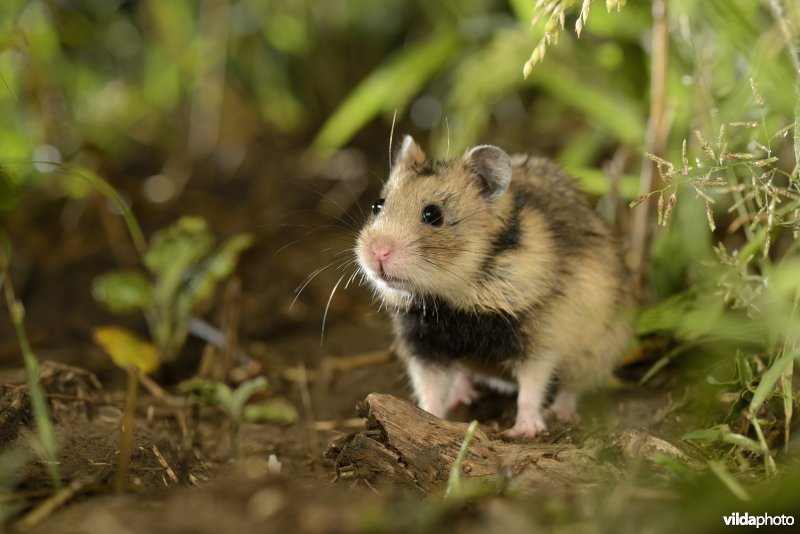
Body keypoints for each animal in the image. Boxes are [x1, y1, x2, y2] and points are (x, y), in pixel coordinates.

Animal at [355, 135, 632, 438]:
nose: (377, 253)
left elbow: (532, 385)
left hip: (594, 352)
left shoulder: (538, 339)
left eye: (432, 214)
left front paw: (525, 430)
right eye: (377, 205)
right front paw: (427, 416)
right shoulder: (423, 346)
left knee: (572, 386)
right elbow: (430, 389)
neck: (455, 294)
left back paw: (560, 413)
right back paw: (461, 395)